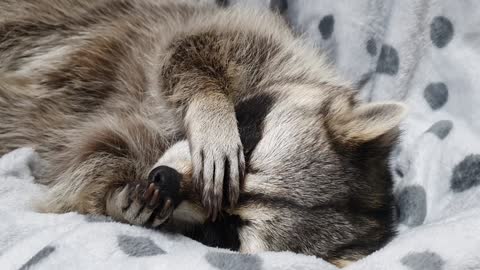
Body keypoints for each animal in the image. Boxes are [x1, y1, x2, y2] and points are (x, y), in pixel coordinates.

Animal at [0, 0, 404, 266]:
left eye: (224, 229)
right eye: (248, 142)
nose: (163, 179)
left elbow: (85, 167)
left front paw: (114, 199)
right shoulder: (250, 40)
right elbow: (187, 46)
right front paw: (210, 105)